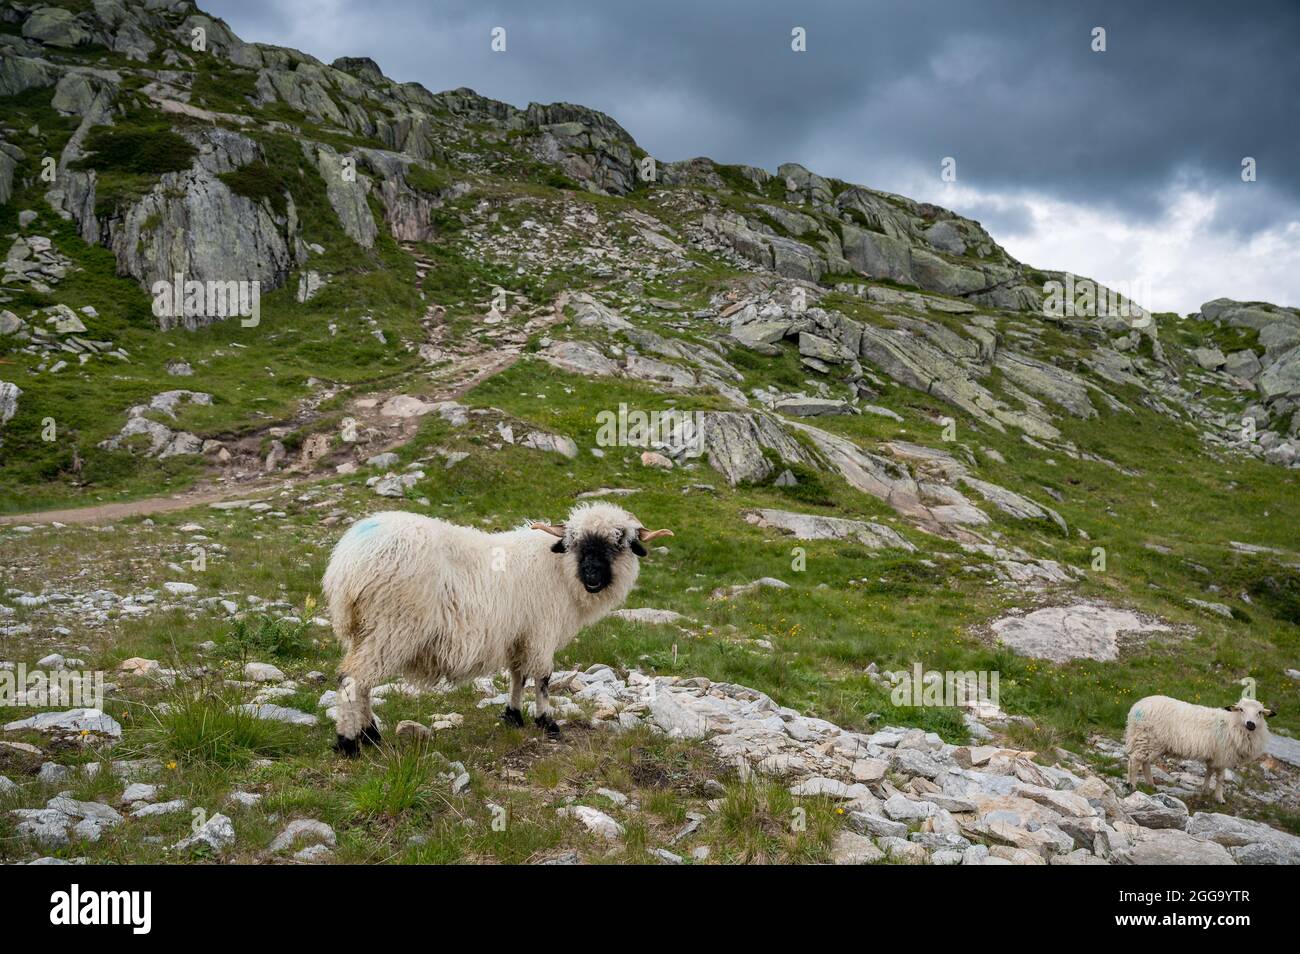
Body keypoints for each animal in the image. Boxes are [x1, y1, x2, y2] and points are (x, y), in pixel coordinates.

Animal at [321, 501, 676, 753]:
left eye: (619, 542)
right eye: (575, 542)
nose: (591, 575)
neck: (560, 570)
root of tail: (349, 561)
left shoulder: (519, 634)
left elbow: (518, 675)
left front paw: (513, 716)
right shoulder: (541, 631)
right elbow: (543, 678)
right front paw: (547, 723)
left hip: (363, 630)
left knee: (362, 683)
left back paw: (370, 735)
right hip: (392, 627)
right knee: (352, 680)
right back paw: (348, 743)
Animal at [1123, 696, 1274, 805]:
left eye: (1260, 712)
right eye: (1241, 709)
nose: (1251, 724)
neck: (1233, 723)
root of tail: (1136, 708)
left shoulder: (1213, 755)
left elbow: (1209, 772)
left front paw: (1204, 790)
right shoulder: (1223, 755)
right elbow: (1220, 778)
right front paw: (1219, 798)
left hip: (1150, 742)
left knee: (1144, 762)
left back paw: (1150, 784)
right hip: (1148, 738)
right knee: (1135, 760)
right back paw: (1132, 785)